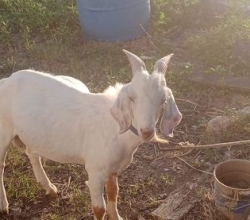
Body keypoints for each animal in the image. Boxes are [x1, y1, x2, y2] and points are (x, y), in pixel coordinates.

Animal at [0, 50, 182, 220]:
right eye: (132, 97)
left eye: (163, 100)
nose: (147, 131)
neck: (114, 128)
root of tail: (7, 80)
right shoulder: (95, 170)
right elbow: (98, 208)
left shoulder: (113, 169)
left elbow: (114, 192)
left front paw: (116, 216)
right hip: (3, 132)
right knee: (1, 165)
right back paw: (4, 205)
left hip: (33, 133)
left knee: (31, 153)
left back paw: (49, 188)